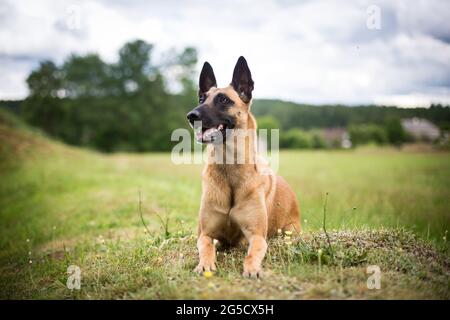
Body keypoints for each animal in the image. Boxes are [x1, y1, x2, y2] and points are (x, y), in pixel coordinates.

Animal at [186, 56, 302, 276]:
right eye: (201, 99)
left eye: (223, 99)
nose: (191, 116)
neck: (230, 167)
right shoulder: (205, 233)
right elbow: (205, 246)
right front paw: (204, 263)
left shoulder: (256, 235)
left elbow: (253, 251)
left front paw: (252, 268)